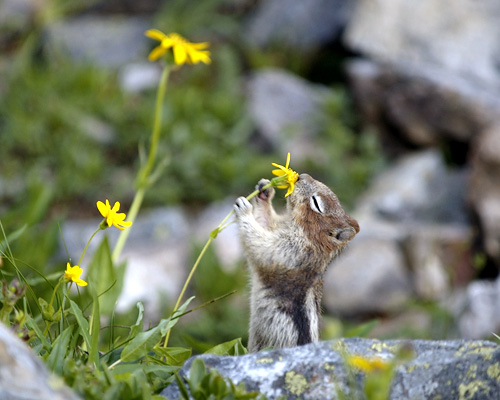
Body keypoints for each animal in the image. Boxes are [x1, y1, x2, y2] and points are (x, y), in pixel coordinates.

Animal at [234, 173, 360, 352]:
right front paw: (265, 191)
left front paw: (245, 210)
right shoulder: (279, 230)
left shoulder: (290, 251)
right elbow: (265, 222)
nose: (301, 176)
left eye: (316, 203)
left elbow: (260, 243)